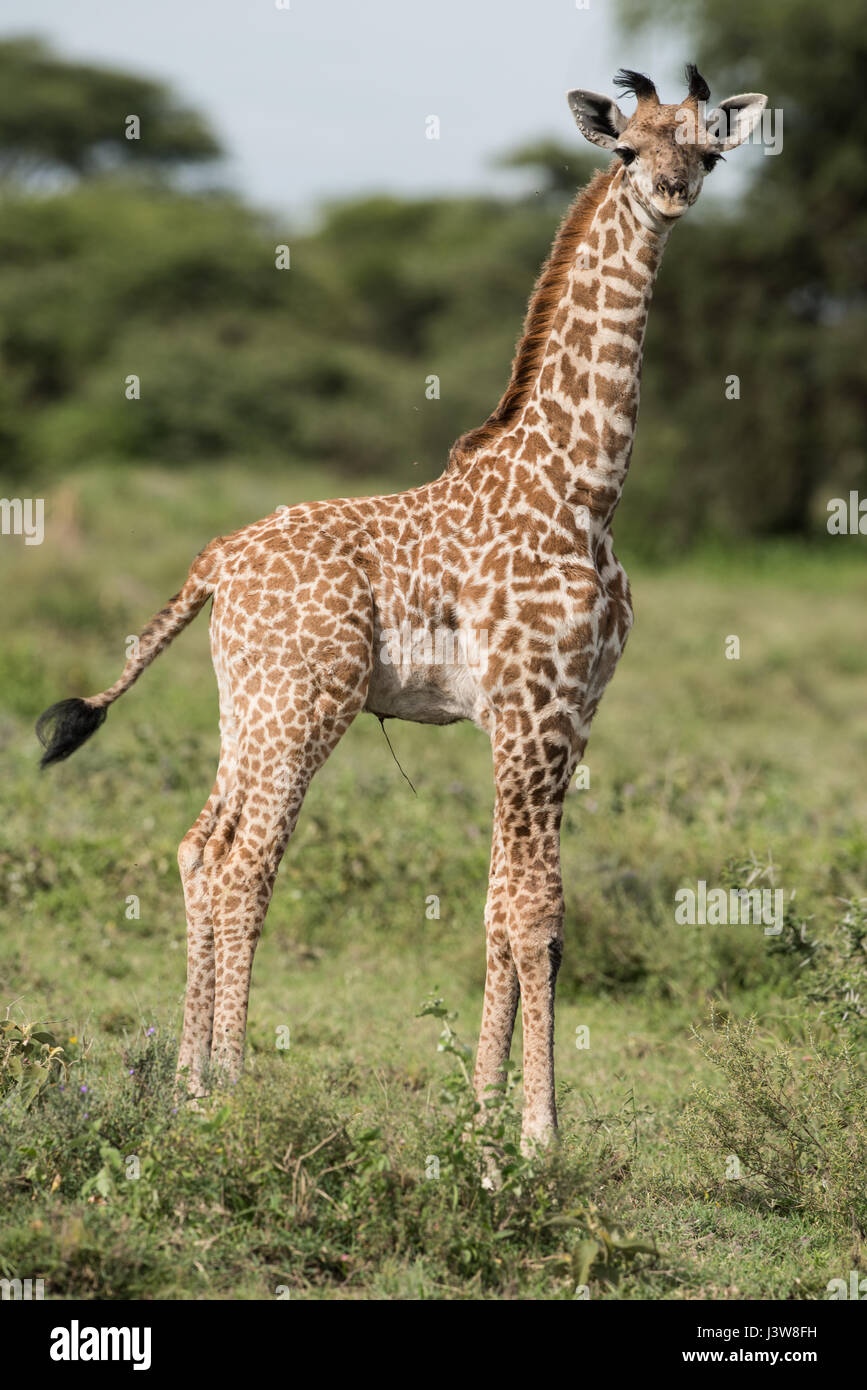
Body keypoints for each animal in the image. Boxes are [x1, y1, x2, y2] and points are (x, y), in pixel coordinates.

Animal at [35, 67, 766, 1150]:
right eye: (630, 149)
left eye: (708, 149)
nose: (675, 193)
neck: (586, 491)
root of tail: (214, 560)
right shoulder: (533, 709)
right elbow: (536, 913)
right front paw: (538, 1139)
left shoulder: (568, 714)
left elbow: (503, 911)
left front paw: (483, 1122)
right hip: (307, 701)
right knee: (247, 863)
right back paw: (233, 1093)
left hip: (245, 705)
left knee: (201, 847)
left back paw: (187, 1083)